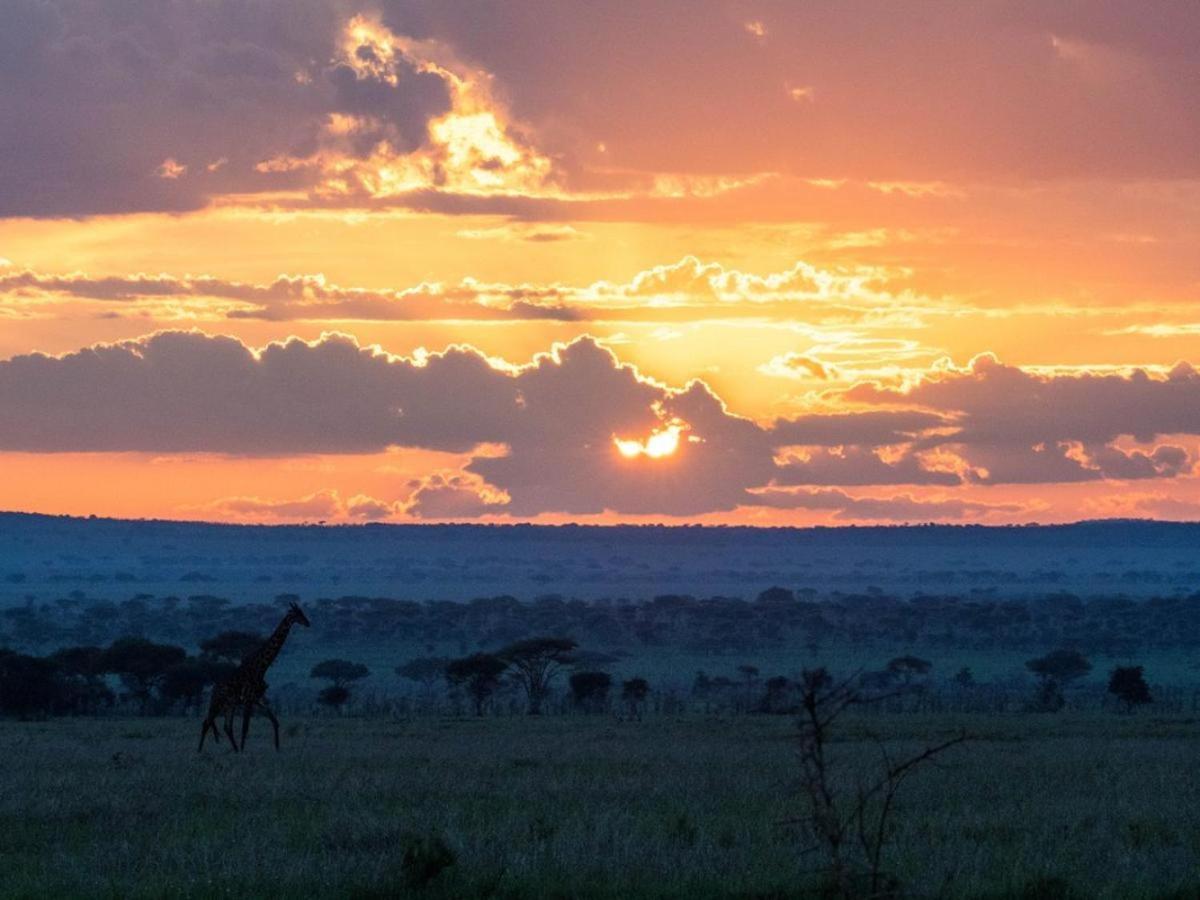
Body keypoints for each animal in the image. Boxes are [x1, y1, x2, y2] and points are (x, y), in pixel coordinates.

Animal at [199, 607, 309, 753]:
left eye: (302, 612)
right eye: (298, 614)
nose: (308, 623)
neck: (261, 668)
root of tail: (214, 689)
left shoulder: (258, 698)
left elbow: (274, 721)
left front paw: (277, 748)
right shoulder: (249, 699)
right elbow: (245, 727)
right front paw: (243, 751)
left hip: (230, 705)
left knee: (227, 727)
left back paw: (235, 749)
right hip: (218, 703)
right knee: (206, 722)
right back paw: (199, 751)